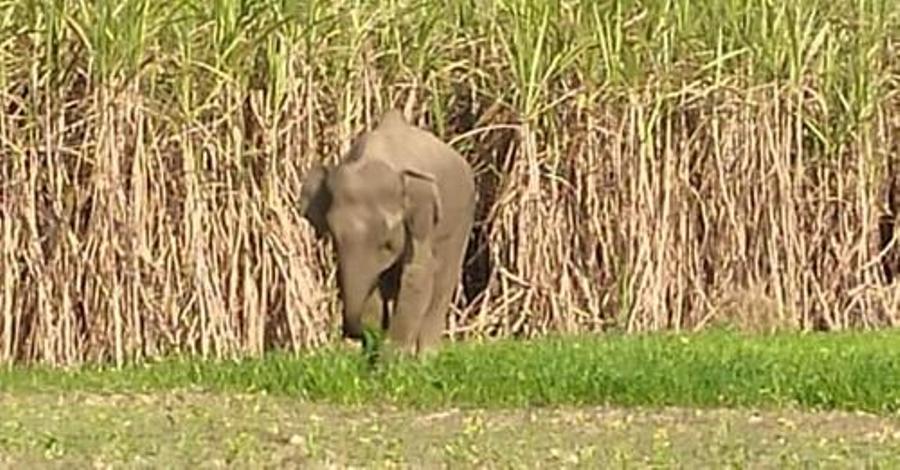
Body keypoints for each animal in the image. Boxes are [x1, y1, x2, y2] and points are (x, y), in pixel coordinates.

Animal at [298, 110, 478, 358]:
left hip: (463, 217)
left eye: (386, 242)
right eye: (332, 234)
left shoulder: (423, 222)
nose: (354, 333)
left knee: (443, 280)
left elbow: (419, 274)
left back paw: (427, 356)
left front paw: (393, 358)